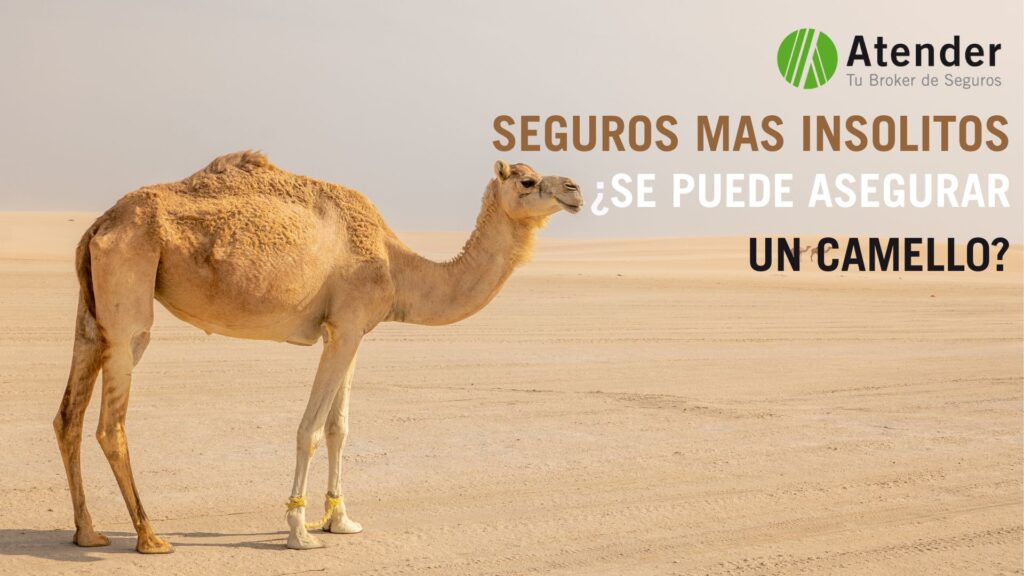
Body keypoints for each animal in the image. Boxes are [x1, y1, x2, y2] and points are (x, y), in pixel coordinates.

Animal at [52, 151, 582, 553]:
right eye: (528, 180)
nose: (575, 189)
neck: (397, 267)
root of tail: (101, 223)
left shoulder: (347, 331)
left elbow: (338, 428)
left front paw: (340, 520)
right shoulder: (346, 325)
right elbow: (309, 429)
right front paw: (299, 531)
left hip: (92, 306)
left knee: (68, 414)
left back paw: (88, 533)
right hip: (131, 285)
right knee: (112, 419)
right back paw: (150, 537)